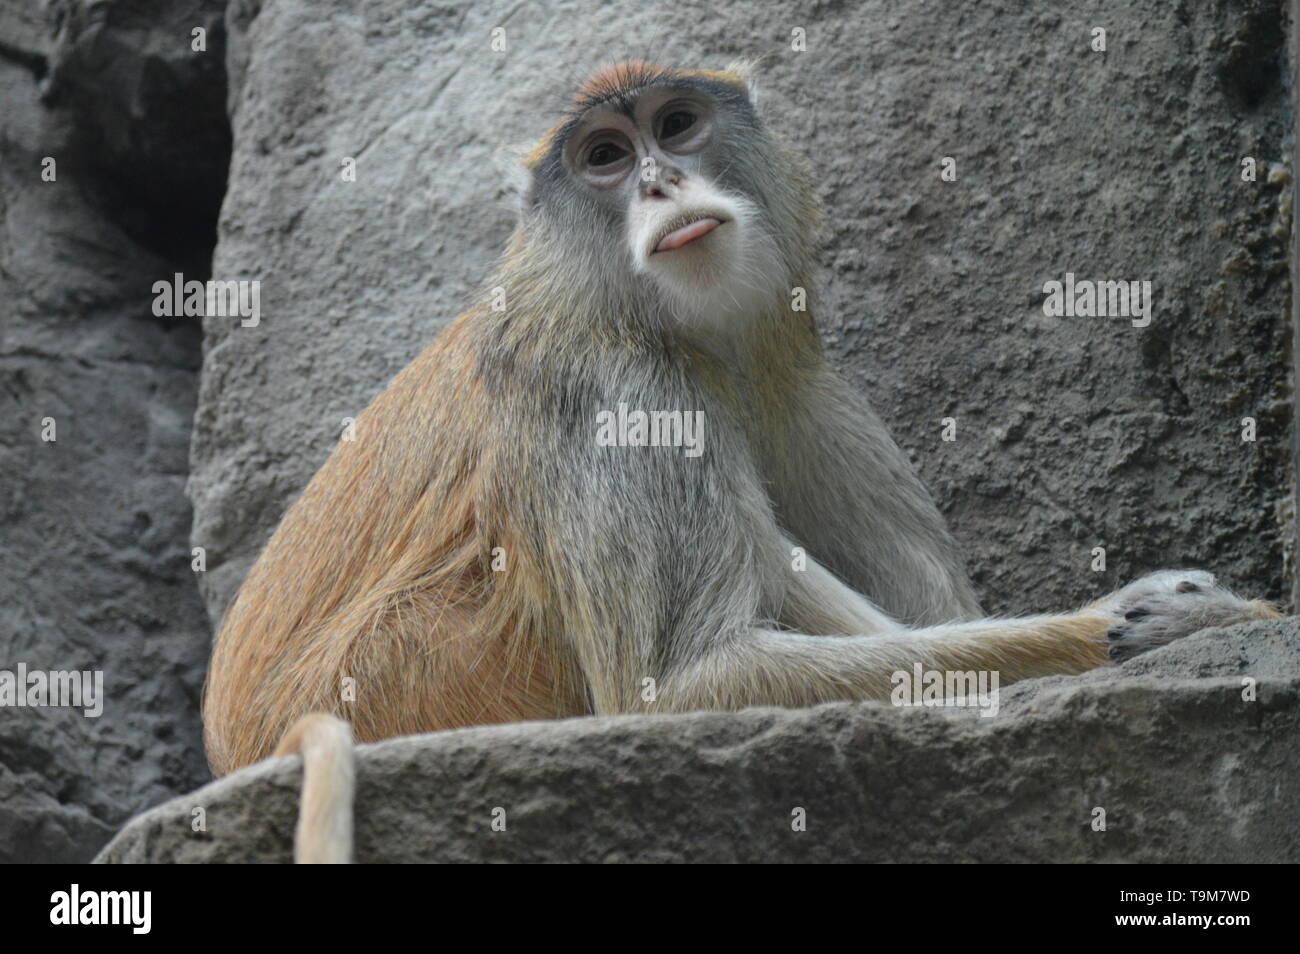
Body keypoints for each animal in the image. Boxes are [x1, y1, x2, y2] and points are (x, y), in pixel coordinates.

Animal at [201, 60, 1280, 862]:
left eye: (675, 125)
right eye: (603, 156)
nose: (658, 183)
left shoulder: (795, 375)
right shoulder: (616, 395)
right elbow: (681, 687)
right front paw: (1162, 619)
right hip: (411, 668)